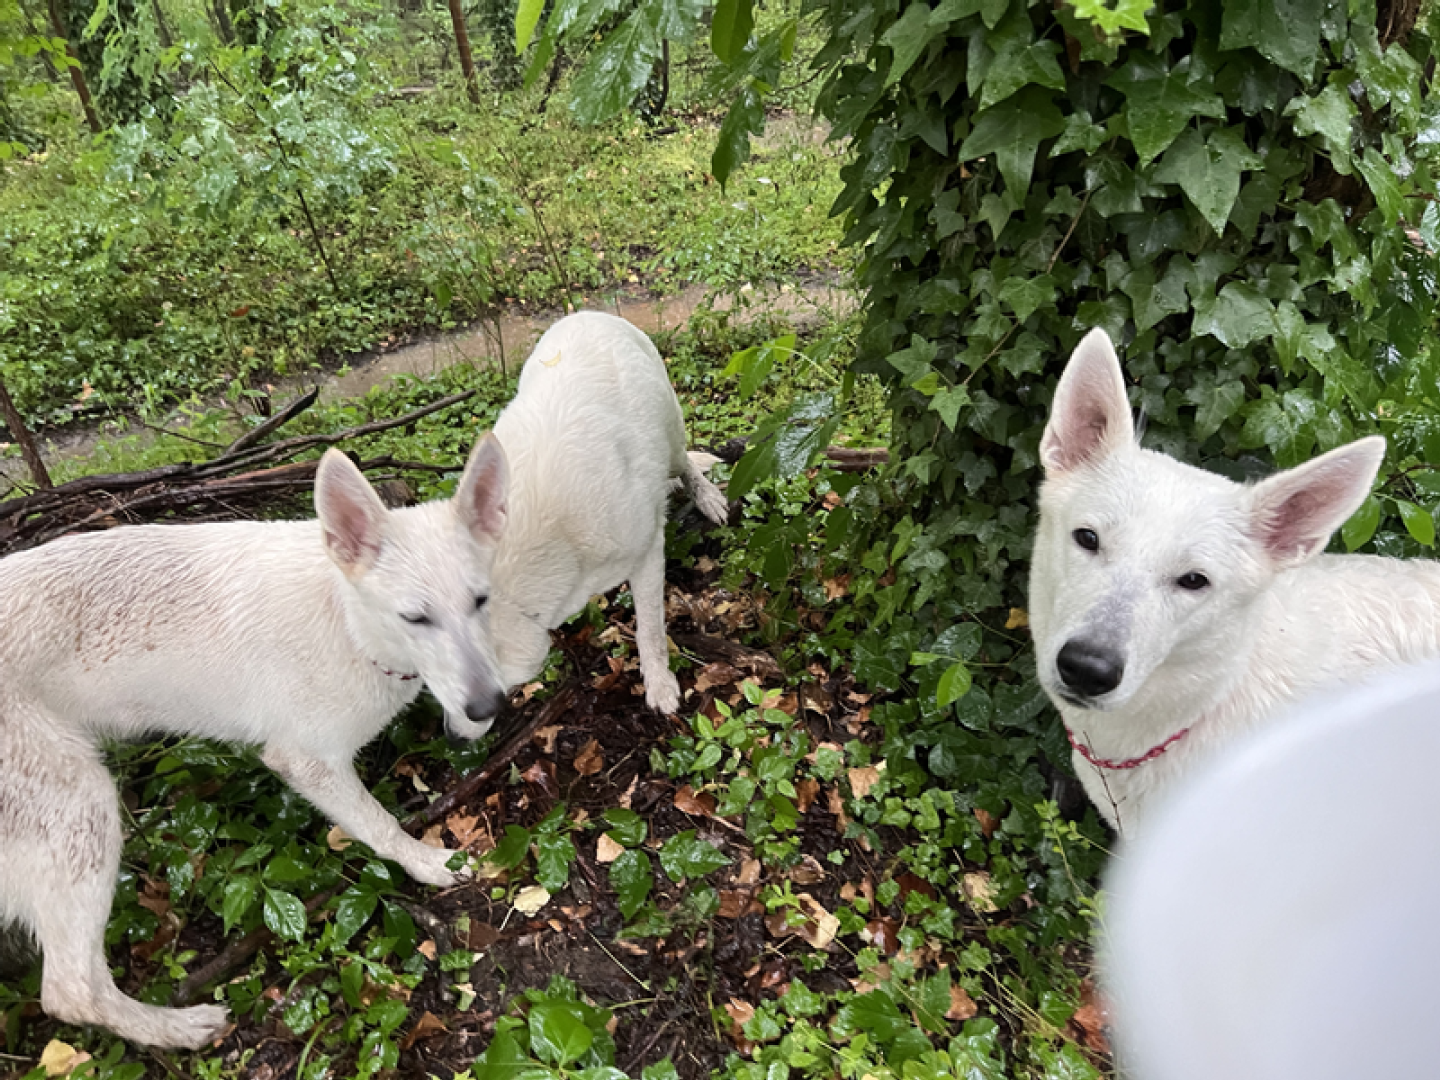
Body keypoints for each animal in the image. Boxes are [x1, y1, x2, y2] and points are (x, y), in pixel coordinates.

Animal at [0, 311, 724, 1048]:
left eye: (479, 602)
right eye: (415, 617)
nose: (483, 708)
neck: (349, 627)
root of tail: (587, 315)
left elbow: (649, 624)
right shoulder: (305, 762)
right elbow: (379, 827)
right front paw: (431, 864)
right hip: (83, 813)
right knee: (71, 990)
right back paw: (181, 1028)